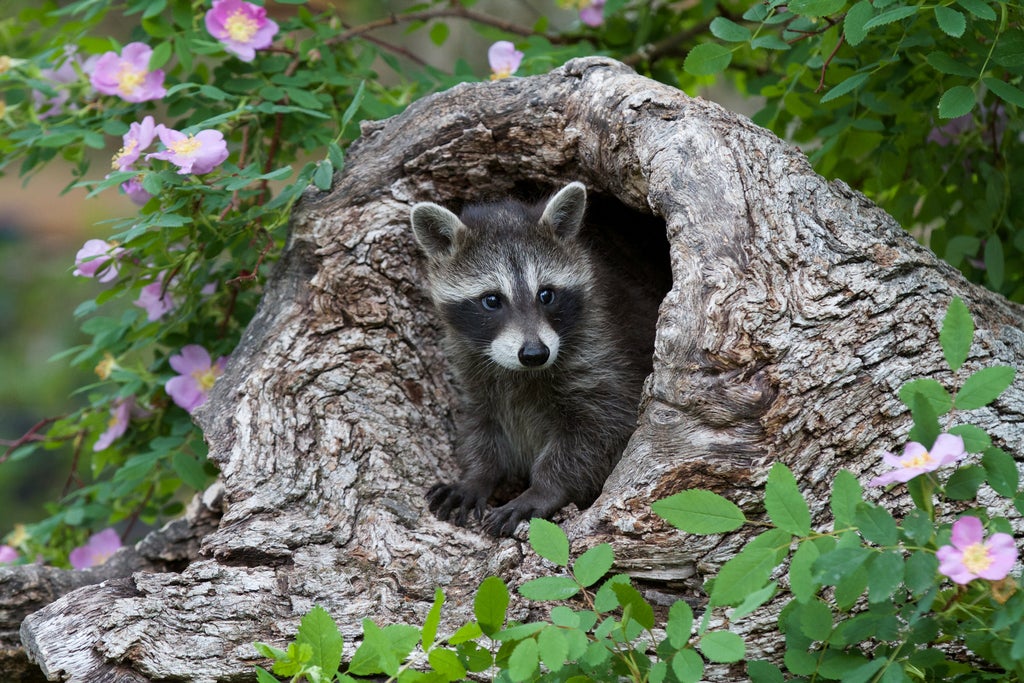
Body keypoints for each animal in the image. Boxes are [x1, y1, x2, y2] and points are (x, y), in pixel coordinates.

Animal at [409, 183, 663, 540]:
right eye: (491, 300)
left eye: (546, 294)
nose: (534, 354)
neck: (519, 372)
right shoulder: (473, 375)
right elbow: (481, 426)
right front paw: (476, 475)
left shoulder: (602, 354)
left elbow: (602, 429)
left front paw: (545, 488)